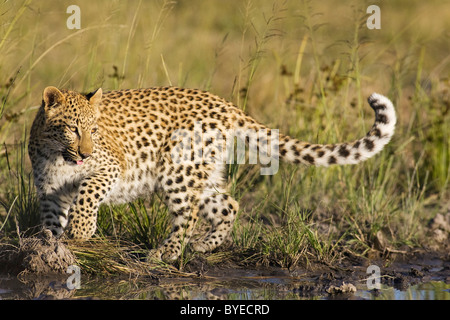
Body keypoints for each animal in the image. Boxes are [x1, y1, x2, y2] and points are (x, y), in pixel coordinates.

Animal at [28, 86, 396, 262]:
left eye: (94, 130)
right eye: (73, 129)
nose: (86, 153)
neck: (57, 155)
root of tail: (224, 103)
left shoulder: (111, 166)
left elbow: (88, 191)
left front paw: (81, 231)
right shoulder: (50, 192)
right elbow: (51, 221)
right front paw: (50, 246)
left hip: (177, 169)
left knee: (188, 214)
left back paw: (166, 253)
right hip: (200, 172)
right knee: (228, 204)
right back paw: (205, 245)